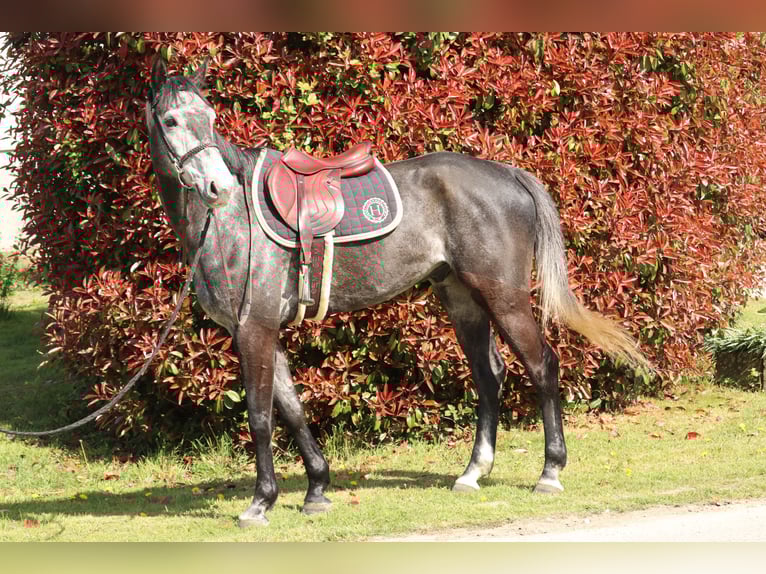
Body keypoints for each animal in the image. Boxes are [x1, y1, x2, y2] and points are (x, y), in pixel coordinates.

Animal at [146, 56, 647, 527]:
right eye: (171, 120)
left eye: (210, 117)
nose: (218, 187)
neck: (233, 223)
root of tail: (506, 173)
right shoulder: (263, 332)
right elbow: (291, 407)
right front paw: (317, 490)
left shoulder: (256, 329)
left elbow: (260, 415)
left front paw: (260, 502)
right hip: (463, 300)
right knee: (490, 375)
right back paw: (472, 472)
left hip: (503, 299)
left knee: (542, 366)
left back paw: (549, 472)